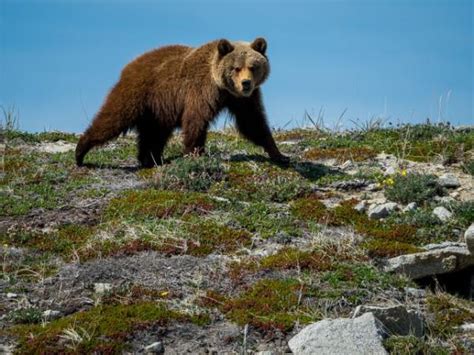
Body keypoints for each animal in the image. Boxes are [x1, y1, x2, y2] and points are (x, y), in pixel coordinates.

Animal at [76, 37, 286, 168]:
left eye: (253, 66)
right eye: (236, 68)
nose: (246, 83)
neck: (222, 87)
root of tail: (129, 64)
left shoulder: (241, 100)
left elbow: (253, 123)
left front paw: (279, 154)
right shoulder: (201, 90)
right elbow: (196, 119)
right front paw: (195, 153)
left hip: (158, 109)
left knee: (155, 133)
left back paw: (151, 159)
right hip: (137, 94)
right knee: (113, 118)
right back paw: (80, 152)